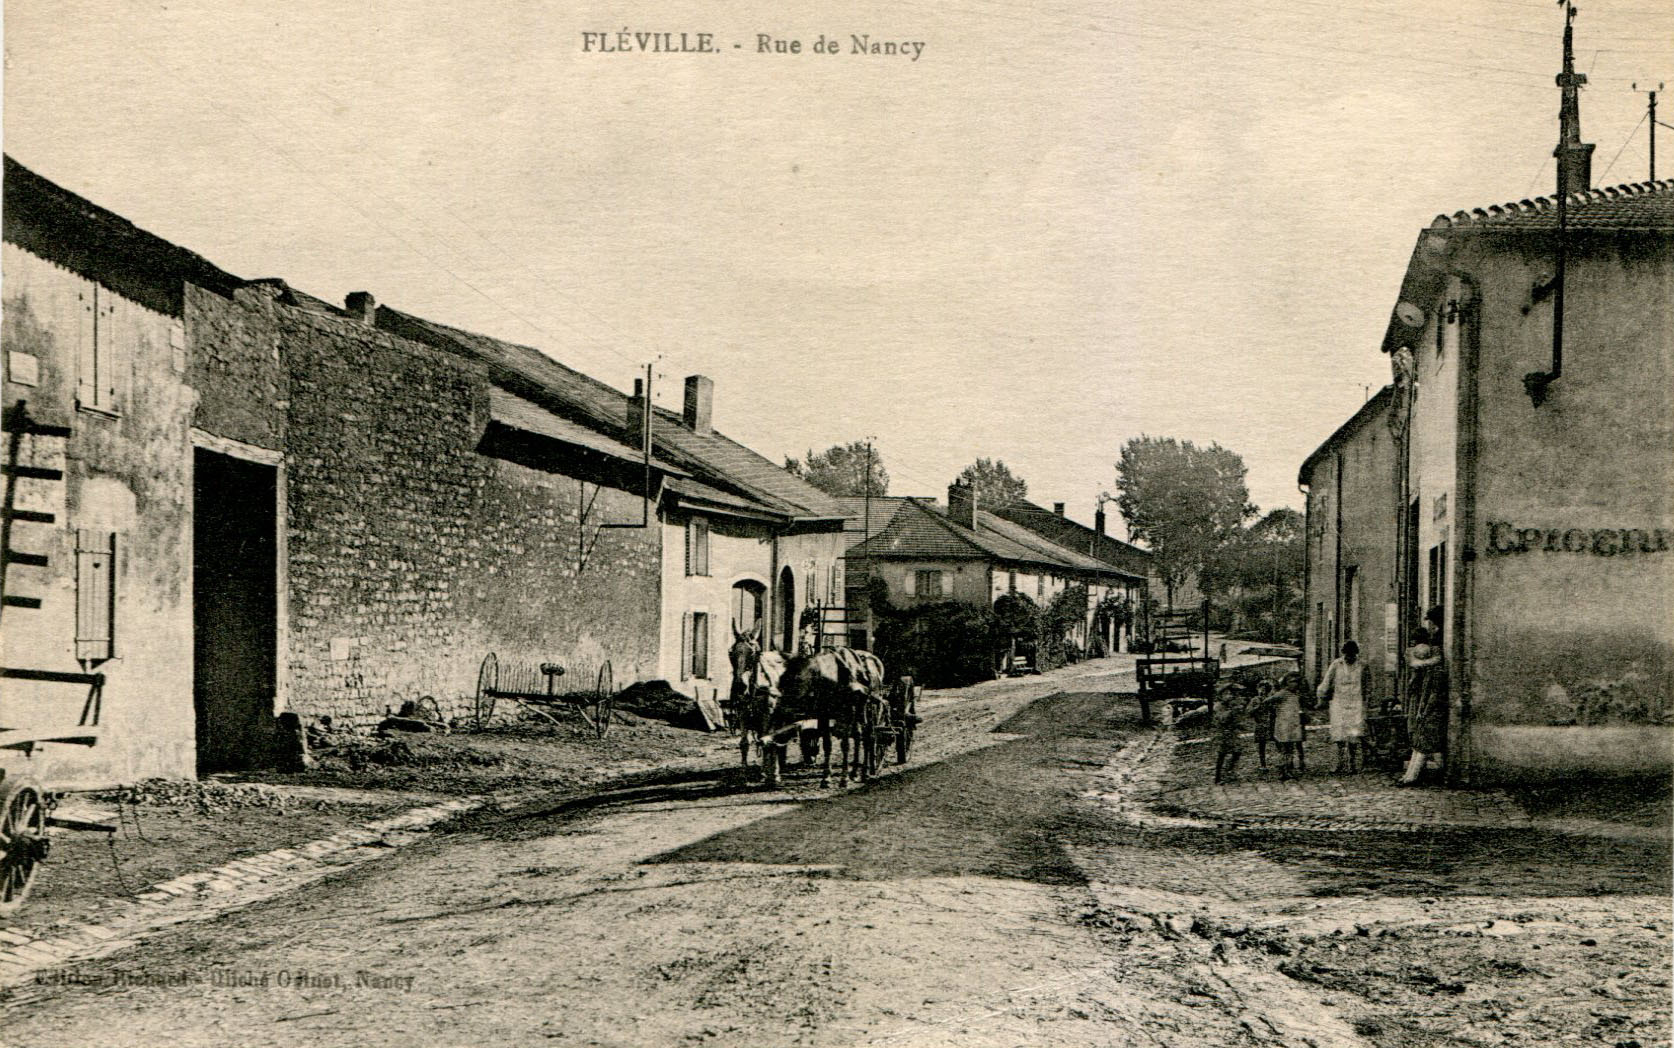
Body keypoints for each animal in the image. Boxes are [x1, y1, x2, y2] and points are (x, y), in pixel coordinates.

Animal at [766, 646, 890, 783]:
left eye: (795, 680)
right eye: (782, 679)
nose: (775, 709)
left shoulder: (847, 712)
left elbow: (845, 744)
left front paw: (843, 779)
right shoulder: (824, 714)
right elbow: (827, 744)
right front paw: (826, 777)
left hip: (870, 707)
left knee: (870, 736)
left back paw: (867, 771)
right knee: (859, 736)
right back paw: (855, 772)